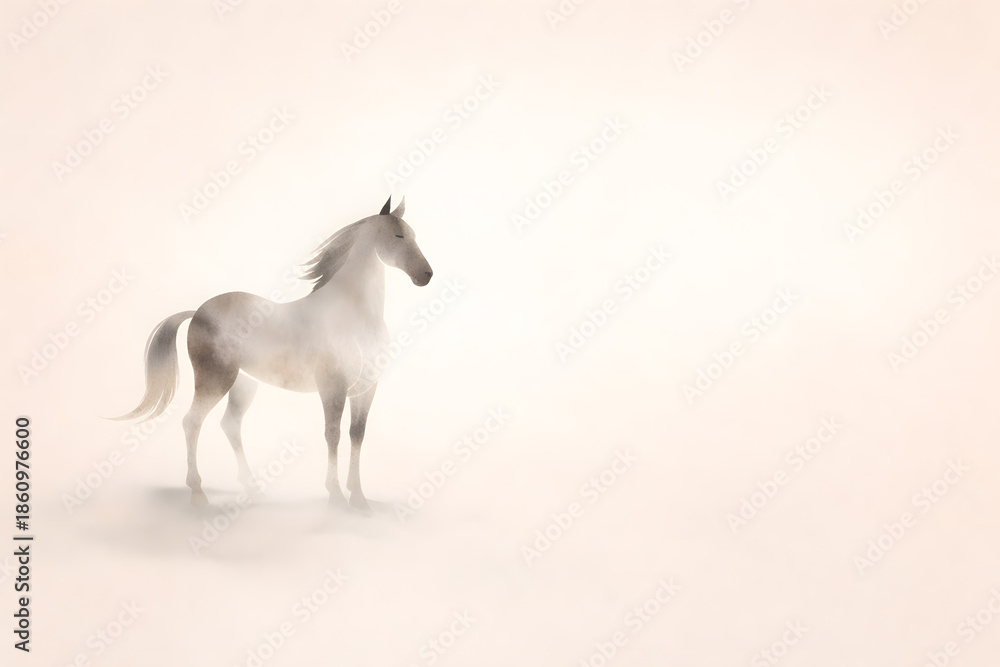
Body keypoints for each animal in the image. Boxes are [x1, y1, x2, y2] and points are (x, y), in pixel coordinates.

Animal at [112, 197, 432, 509]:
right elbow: (333, 434)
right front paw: (337, 496)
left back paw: (252, 488)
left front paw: (359, 498)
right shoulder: (333, 388)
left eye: (414, 235)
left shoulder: (366, 389)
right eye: (398, 235)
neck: (355, 317)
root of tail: (198, 312)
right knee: (192, 422)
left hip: (244, 384)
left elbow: (357, 435)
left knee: (230, 425)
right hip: (215, 379)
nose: (426, 275)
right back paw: (198, 493)